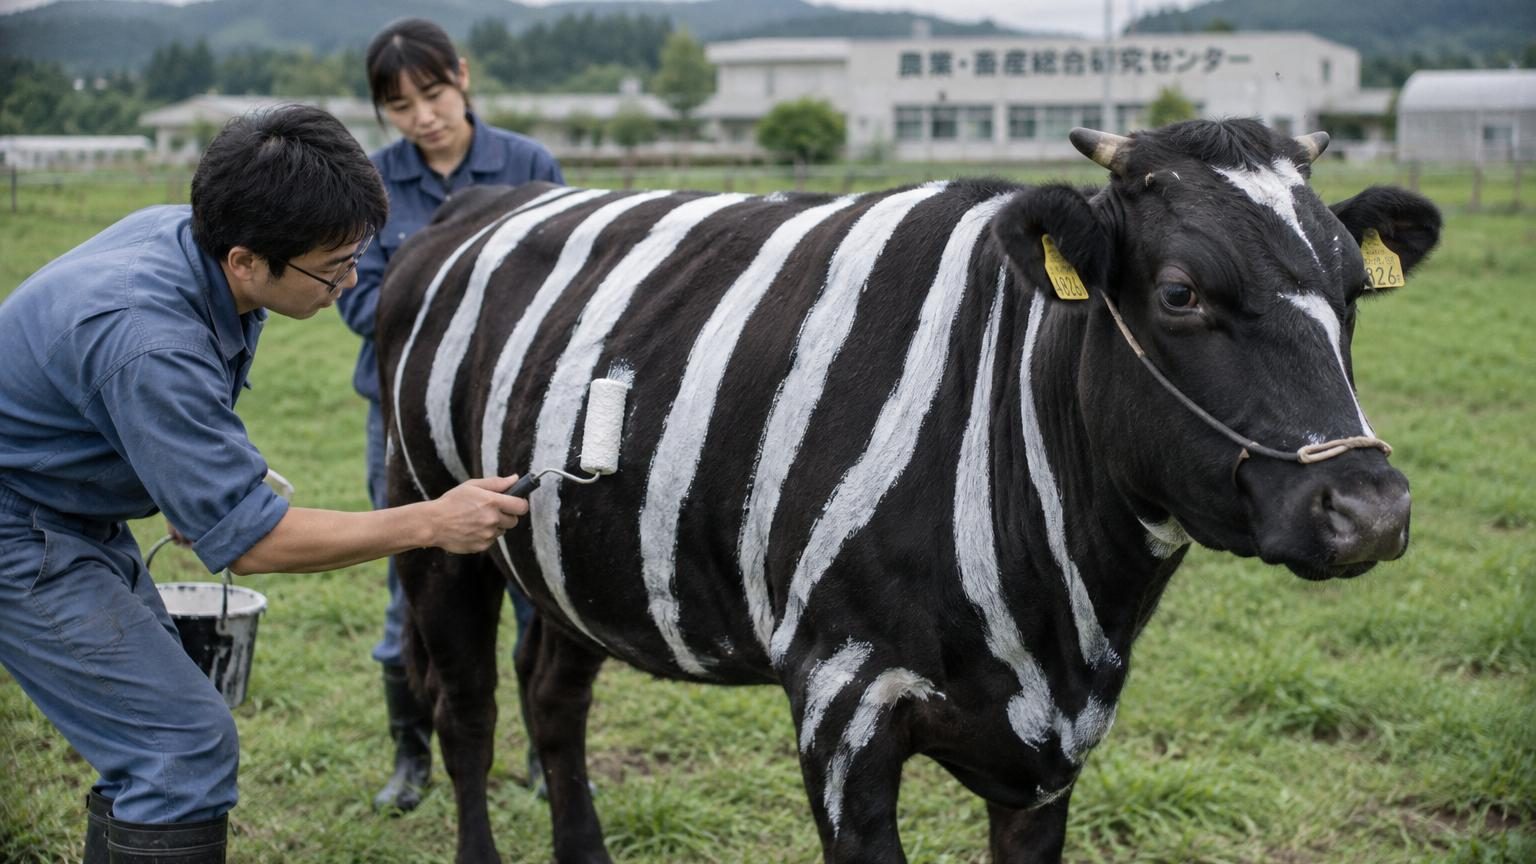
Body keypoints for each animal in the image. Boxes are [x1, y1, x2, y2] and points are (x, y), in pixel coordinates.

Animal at [374, 119, 1441, 863]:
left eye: (1353, 292)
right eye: (1180, 292)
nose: (1371, 509)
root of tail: (478, 205)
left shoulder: (1054, 752)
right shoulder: (841, 705)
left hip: (571, 557)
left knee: (554, 702)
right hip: (435, 530)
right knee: (468, 715)